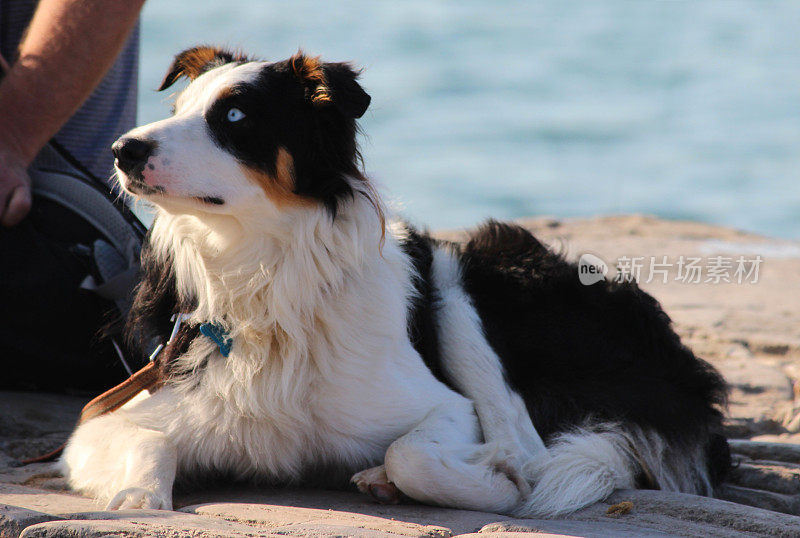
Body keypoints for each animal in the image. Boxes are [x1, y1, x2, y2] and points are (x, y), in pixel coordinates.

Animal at [59, 47, 728, 516]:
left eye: (235, 116)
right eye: (175, 112)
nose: (122, 149)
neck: (261, 271)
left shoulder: (448, 406)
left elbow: (415, 454)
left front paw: (488, 484)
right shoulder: (113, 417)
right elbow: (148, 445)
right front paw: (139, 499)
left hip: (464, 281)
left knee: (529, 447)